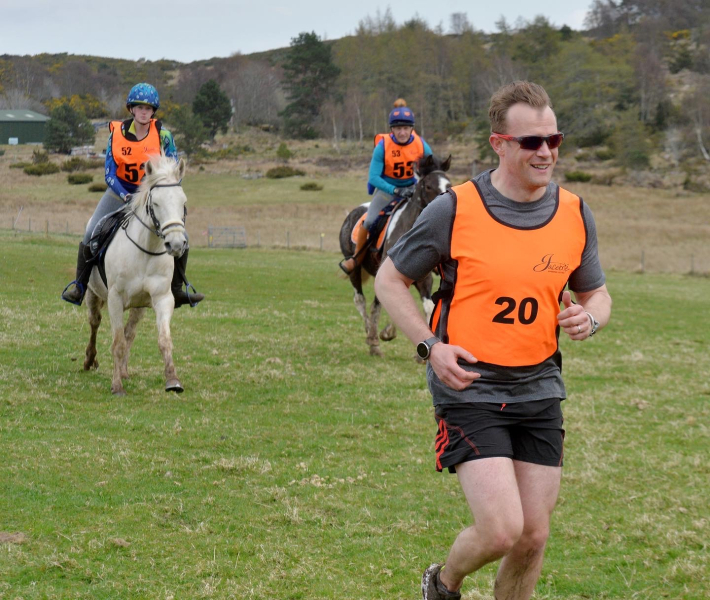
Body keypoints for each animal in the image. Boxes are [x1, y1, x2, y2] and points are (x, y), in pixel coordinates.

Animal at [82, 155, 189, 396]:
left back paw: (123, 371)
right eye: (156, 203)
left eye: (183, 203)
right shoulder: (115, 299)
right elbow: (117, 342)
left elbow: (163, 340)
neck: (145, 251)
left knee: (130, 333)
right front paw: (117, 387)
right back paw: (90, 360)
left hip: (139, 306)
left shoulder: (163, 299)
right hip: (93, 294)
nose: (176, 244)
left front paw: (173, 380)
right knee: (95, 323)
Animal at [338, 155, 450, 356]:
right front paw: (385, 334)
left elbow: (428, 308)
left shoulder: (425, 279)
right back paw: (371, 336)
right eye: (429, 186)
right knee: (361, 300)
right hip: (355, 268)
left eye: (449, 184)